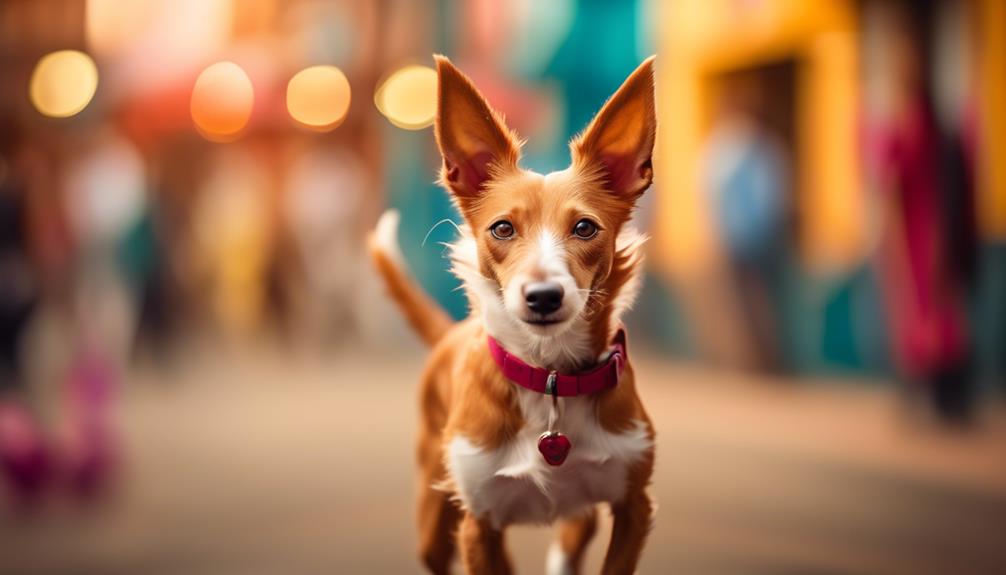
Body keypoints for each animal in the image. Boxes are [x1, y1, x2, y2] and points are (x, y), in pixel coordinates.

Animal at [370, 55, 659, 575]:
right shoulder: (479, 522)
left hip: (575, 513)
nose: (543, 296)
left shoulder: (634, 506)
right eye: (502, 228)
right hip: (434, 520)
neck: (549, 377)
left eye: (585, 228)